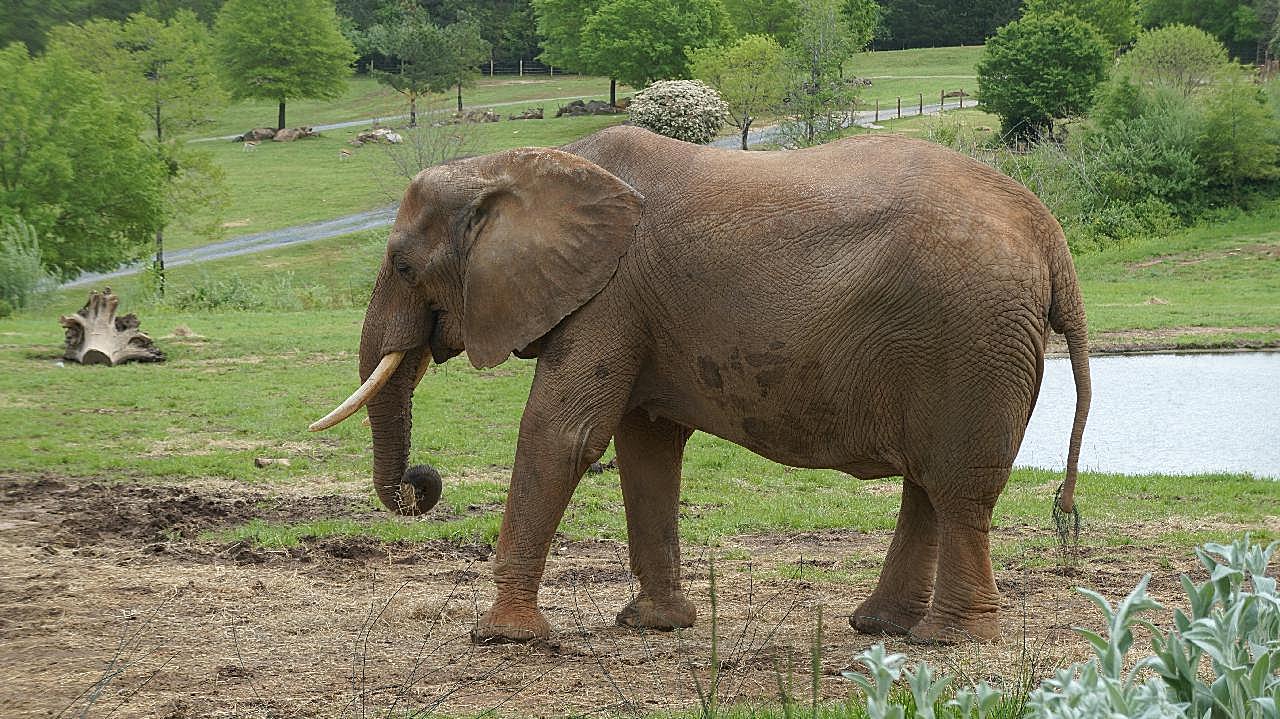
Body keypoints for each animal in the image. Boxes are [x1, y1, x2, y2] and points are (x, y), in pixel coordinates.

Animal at [309, 124, 1090, 644]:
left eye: (403, 265)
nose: (422, 482)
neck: (520, 166)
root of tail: (1051, 235)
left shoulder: (609, 297)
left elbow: (562, 435)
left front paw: (505, 638)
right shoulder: (633, 312)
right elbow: (646, 448)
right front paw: (654, 625)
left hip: (972, 336)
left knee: (956, 488)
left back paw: (948, 640)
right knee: (928, 485)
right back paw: (881, 628)